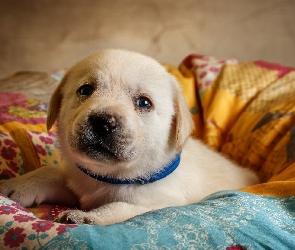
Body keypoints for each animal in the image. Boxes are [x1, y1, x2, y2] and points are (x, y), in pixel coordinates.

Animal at [0, 48, 260, 225]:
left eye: (144, 103)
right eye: (85, 90)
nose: (103, 122)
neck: (109, 177)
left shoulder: (160, 203)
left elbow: (120, 207)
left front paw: (86, 217)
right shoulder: (77, 183)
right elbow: (50, 172)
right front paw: (16, 185)